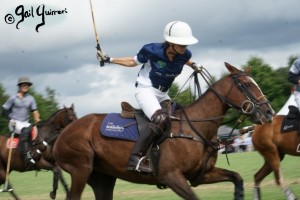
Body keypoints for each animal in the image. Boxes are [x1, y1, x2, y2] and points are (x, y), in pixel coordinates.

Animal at [53, 63, 274, 200]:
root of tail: (62, 134)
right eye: (247, 84)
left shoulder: (200, 175)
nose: (269, 112)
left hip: (103, 178)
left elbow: (237, 177)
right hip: (80, 169)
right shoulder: (171, 176)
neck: (197, 127)